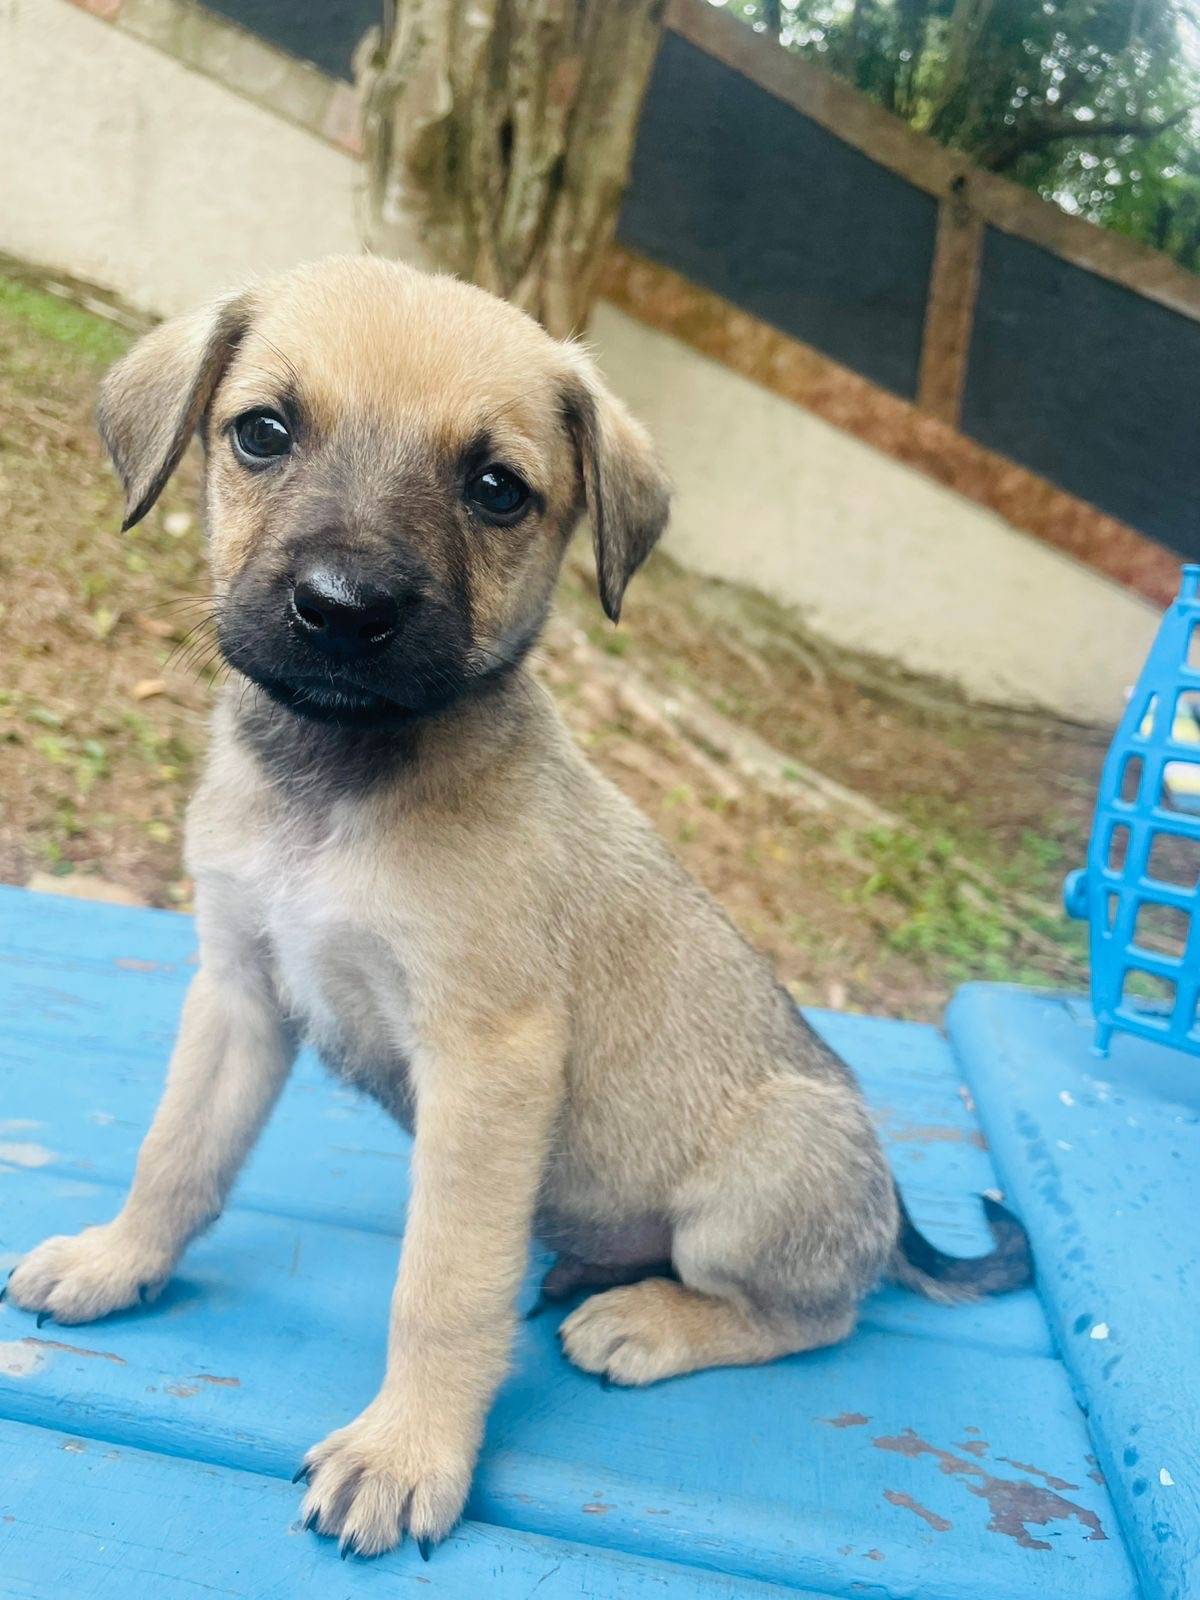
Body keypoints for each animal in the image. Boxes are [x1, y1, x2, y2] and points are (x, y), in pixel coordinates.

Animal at [6, 256, 1031, 1558]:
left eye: (496, 489)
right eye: (262, 433)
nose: (344, 609)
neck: (341, 780)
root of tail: (890, 1210)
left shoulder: (487, 1066)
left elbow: (441, 1286)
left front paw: (406, 1451)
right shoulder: (240, 991)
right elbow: (176, 1154)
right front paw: (119, 1260)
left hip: (756, 1187)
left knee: (820, 1314)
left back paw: (651, 1319)